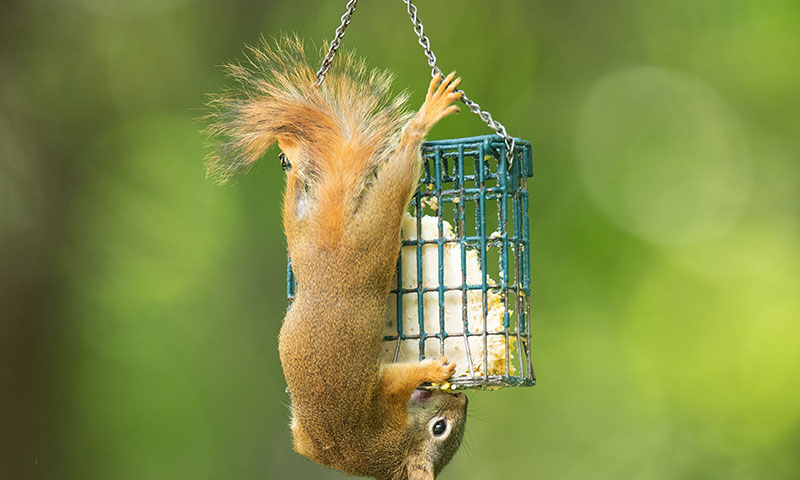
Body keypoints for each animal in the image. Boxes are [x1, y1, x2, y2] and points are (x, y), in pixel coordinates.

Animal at [205, 36, 468, 480]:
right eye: (440, 429)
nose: (464, 400)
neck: (390, 450)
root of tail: (332, 251)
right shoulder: (383, 397)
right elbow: (400, 377)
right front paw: (434, 369)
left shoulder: (309, 443)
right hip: (374, 237)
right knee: (400, 168)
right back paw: (425, 117)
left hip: (301, 237)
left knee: (295, 197)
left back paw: (293, 153)